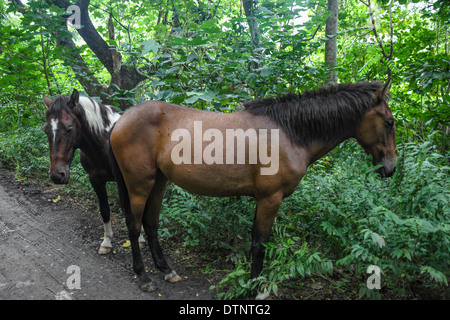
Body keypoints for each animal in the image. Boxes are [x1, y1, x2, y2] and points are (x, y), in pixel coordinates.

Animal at [109, 80, 398, 292]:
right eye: (389, 122)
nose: (391, 167)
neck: (290, 133)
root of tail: (120, 120)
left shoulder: (263, 199)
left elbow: (255, 241)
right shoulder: (270, 198)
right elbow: (260, 243)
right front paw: (254, 287)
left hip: (159, 182)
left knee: (151, 224)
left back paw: (166, 270)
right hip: (139, 185)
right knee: (134, 226)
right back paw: (143, 277)